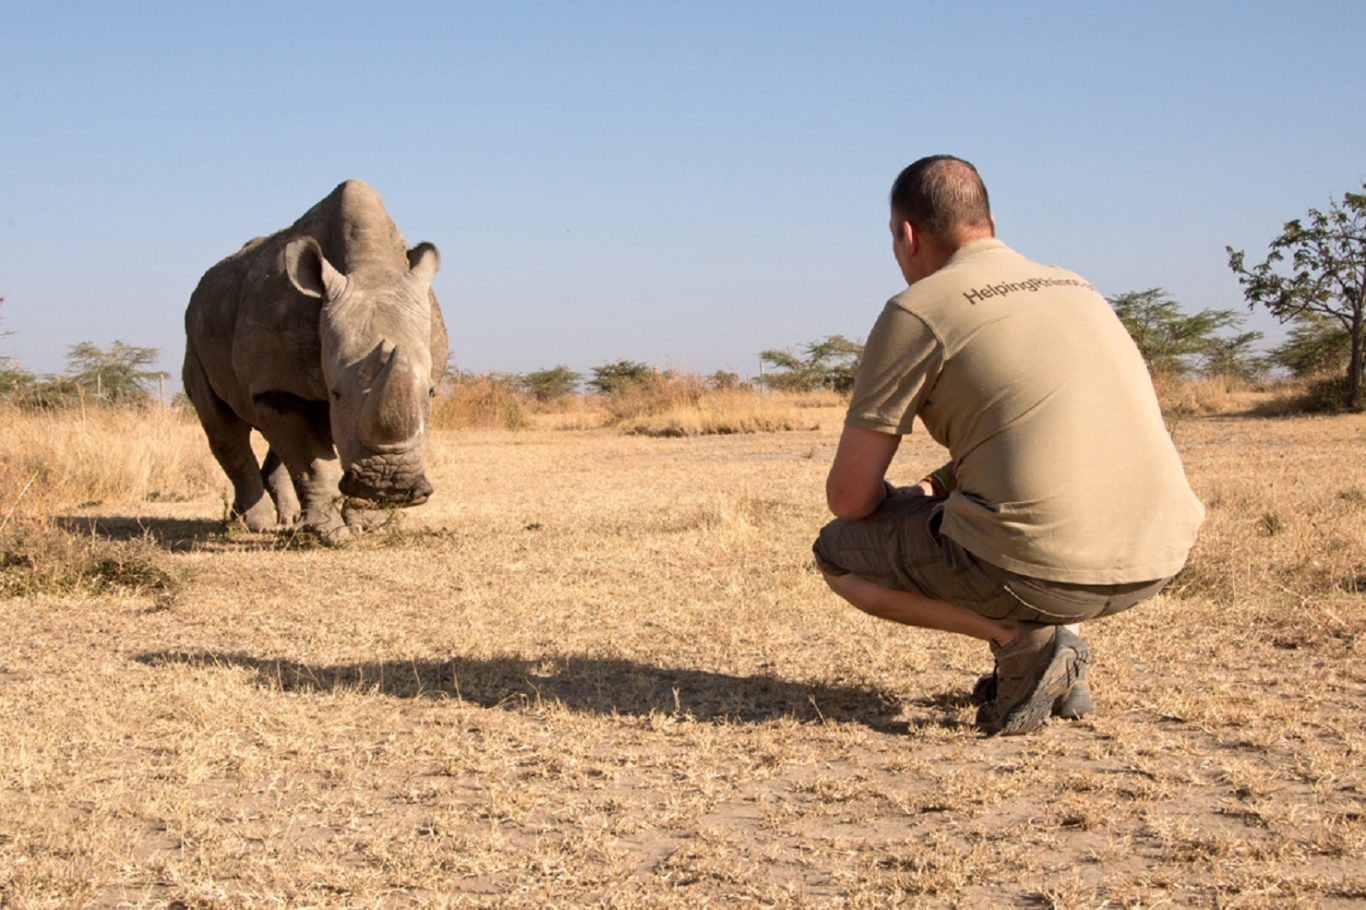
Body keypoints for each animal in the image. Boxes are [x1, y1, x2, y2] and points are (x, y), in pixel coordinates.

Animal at [181, 180, 445, 535]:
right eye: (336, 393)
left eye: (430, 392)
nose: (390, 482)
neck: (370, 266)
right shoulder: (276, 386)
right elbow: (315, 465)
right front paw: (332, 535)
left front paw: (370, 527)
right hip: (194, 334)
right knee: (224, 427)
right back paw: (256, 525)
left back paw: (284, 520)